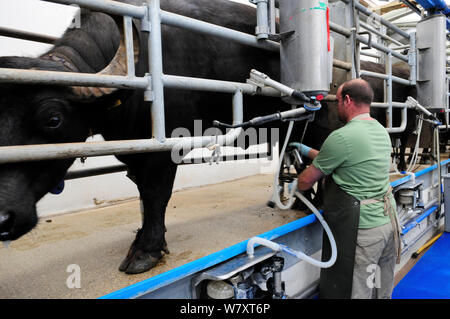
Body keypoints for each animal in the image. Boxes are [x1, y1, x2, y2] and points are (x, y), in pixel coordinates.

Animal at [0, 0, 416, 276]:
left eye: (53, 118)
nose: (4, 217)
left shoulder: (162, 151)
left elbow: (155, 195)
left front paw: (146, 251)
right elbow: (142, 197)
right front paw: (144, 237)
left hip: (326, 119)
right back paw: (303, 204)